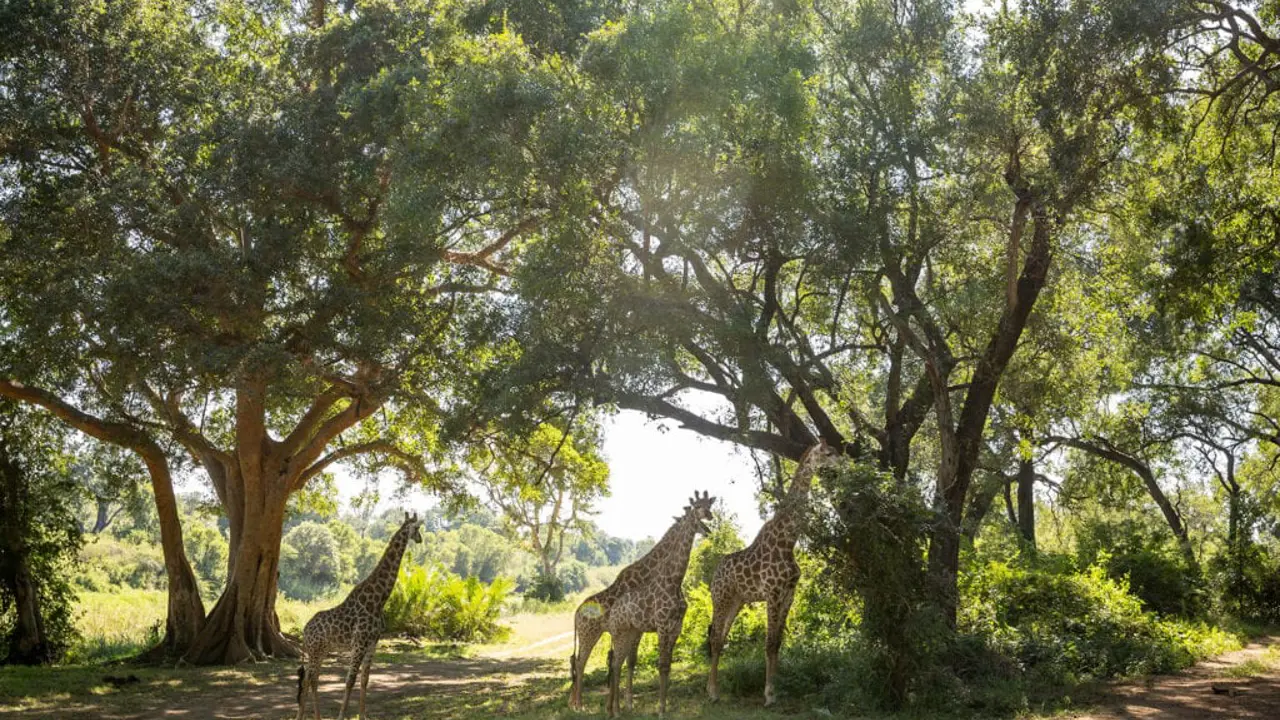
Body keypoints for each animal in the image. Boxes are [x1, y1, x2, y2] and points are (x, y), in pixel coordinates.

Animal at [296, 512, 423, 720]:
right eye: (418, 528)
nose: (420, 539)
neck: (378, 600)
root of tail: (304, 630)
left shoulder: (372, 642)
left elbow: (365, 679)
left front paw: (363, 715)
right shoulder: (359, 642)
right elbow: (350, 679)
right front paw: (341, 716)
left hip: (320, 651)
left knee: (311, 678)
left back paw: (313, 716)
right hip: (314, 651)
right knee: (310, 678)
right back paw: (307, 716)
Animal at [569, 491, 715, 717]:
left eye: (709, 506)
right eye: (698, 508)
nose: (710, 516)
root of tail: (576, 613)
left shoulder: (650, 629)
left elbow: (634, 662)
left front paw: (628, 704)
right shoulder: (654, 627)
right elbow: (644, 663)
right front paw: (653, 707)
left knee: (587, 662)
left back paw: (582, 704)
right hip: (590, 634)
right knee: (580, 662)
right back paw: (579, 705)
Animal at [706, 440, 841, 706]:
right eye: (828, 453)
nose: (844, 462)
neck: (788, 541)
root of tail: (714, 575)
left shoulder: (789, 593)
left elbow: (778, 642)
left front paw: (778, 687)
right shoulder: (772, 592)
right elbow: (768, 643)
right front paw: (769, 694)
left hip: (737, 601)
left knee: (721, 638)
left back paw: (710, 689)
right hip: (721, 599)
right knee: (715, 638)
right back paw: (714, 693)